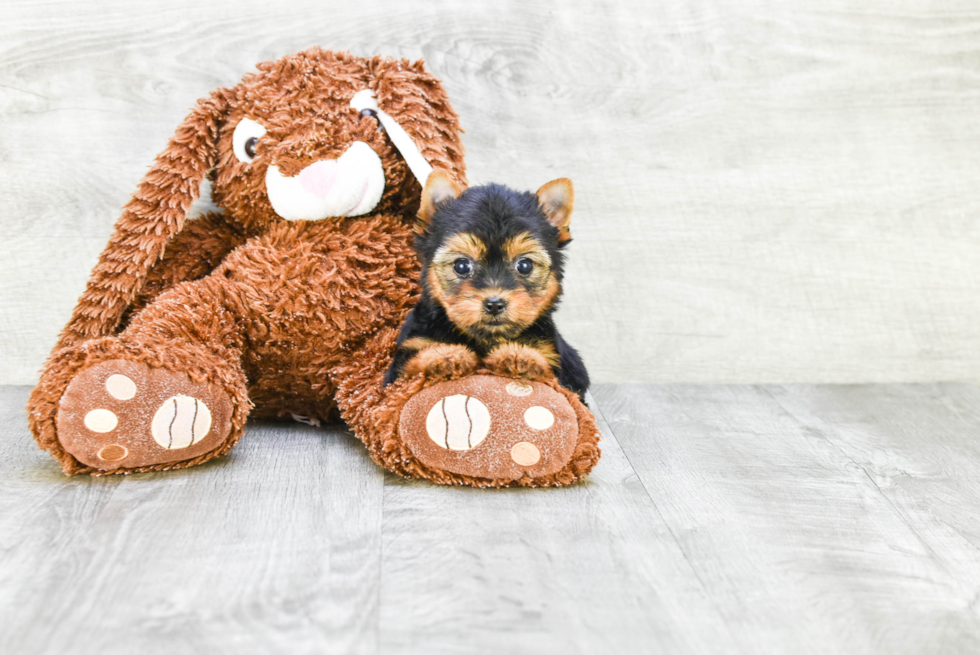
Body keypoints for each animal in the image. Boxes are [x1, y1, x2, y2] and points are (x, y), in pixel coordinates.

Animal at [384, 172, 588, 402]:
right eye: (461, 265)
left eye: (524, 265)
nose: (495, 304)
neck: (486, 338)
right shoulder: (410, 351)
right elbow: (412, 364)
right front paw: (445, 357)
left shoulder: (552, 355)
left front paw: (519, 355)